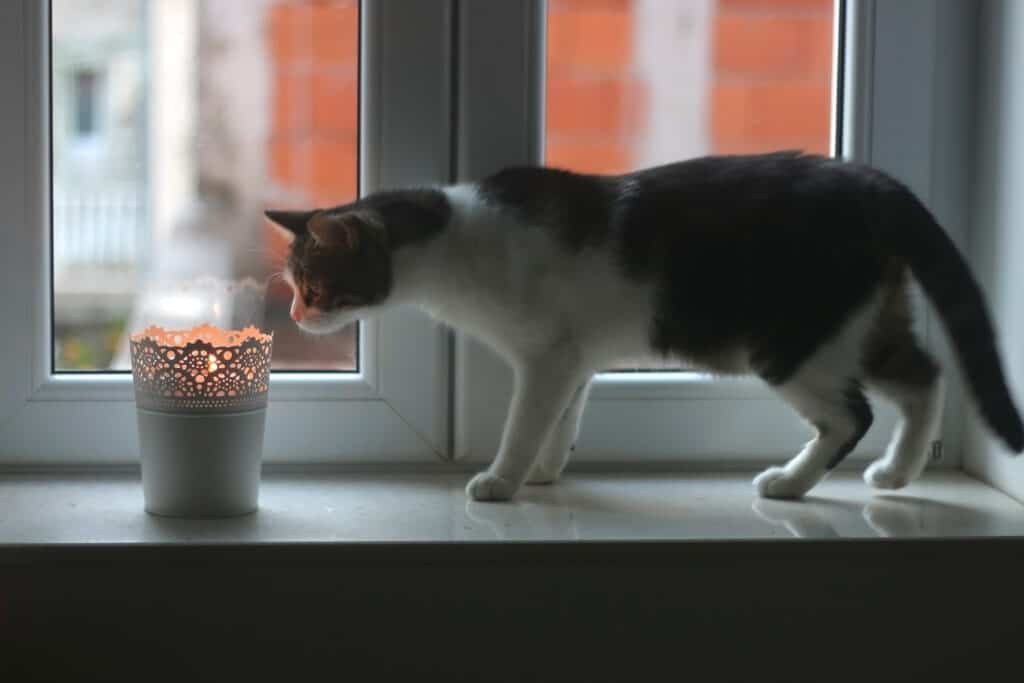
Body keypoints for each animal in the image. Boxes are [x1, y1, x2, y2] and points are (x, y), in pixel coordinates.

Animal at [266, 150, 1024, 501]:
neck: (456, 241)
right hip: (858, 319)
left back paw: (789, 482)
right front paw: (546, 472)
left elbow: (526, 418)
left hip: (789, 341)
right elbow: (563, 417)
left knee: (853, 414)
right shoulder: (575, 356)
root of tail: (870, 181)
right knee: (925, 377)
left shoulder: (547, 355)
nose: (299, 312)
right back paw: (897, 472)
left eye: (315, 286)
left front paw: (503, 480)